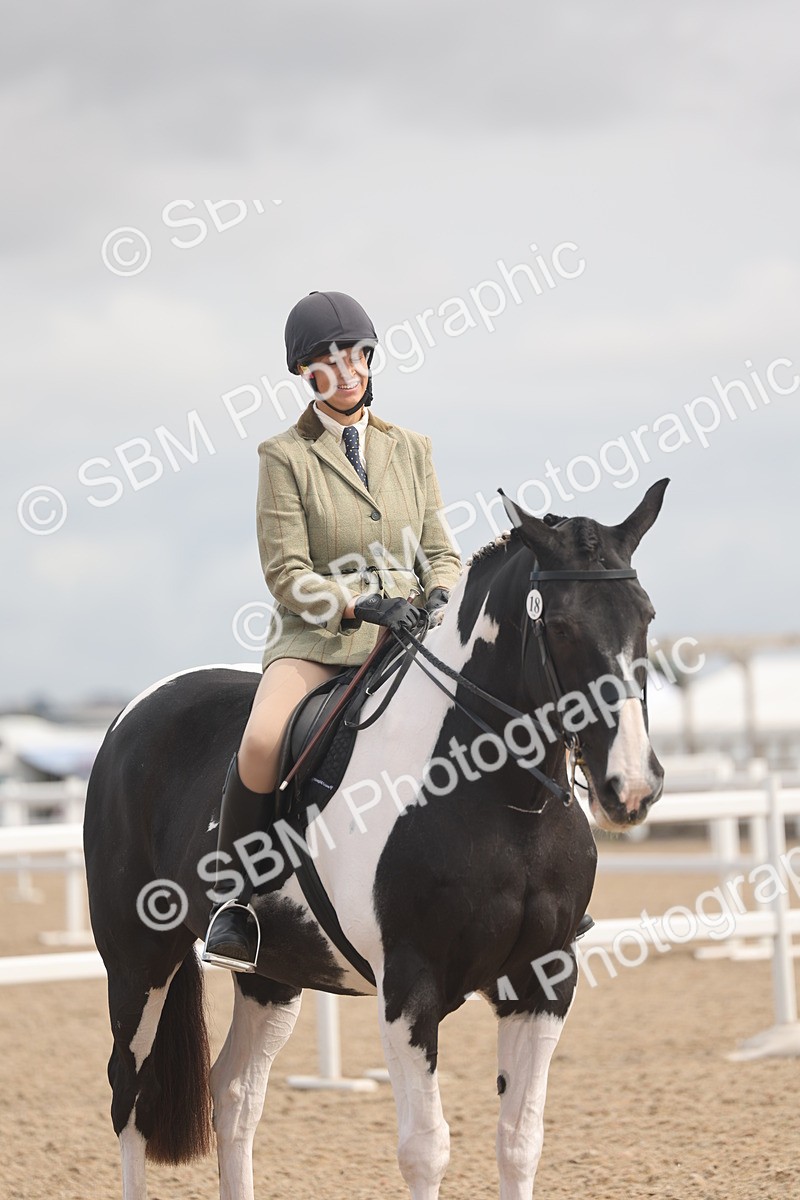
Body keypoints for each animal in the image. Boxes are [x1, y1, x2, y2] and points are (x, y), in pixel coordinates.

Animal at [84, 478, 669, 1200]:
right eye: (559, 626)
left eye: (645, 617)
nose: (631, 786)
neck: (505, 804)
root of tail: (133, 713)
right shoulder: (409, 990)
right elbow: (426, 1150)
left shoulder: (544, 981)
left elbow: (519, 1142)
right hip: (137, 958)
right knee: (130, 1095)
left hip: (271, 972)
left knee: (236, 1093)